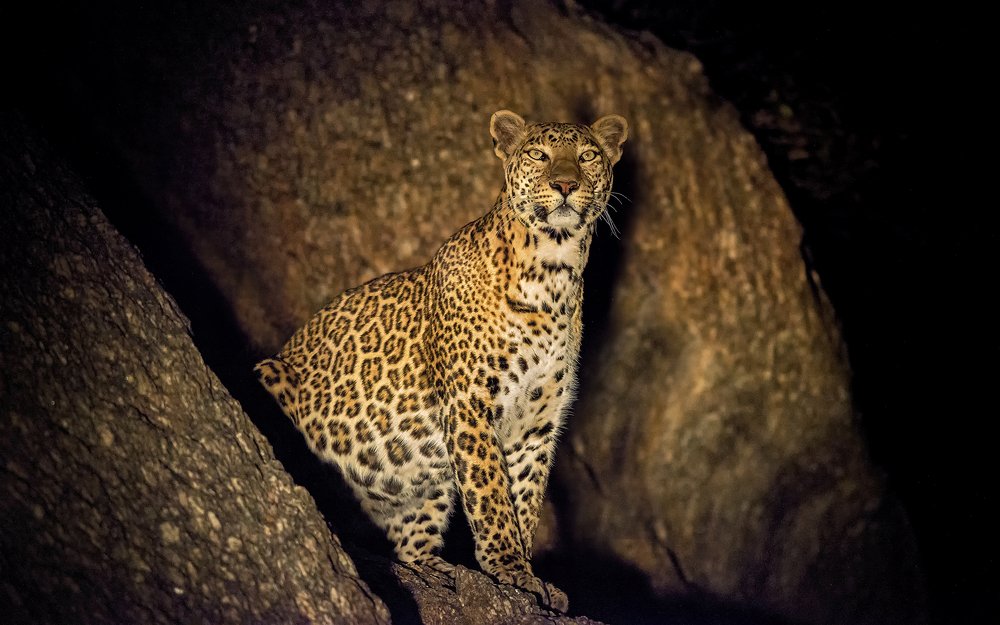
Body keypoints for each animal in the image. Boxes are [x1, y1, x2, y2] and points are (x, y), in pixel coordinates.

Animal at [255, 110, 627, 612]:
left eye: (587, 156)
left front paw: (528, 574)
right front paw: (509, 568)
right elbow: (491, 494)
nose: (567, 183)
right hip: (271, 372)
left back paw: (433, 568)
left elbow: (526, 499)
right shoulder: (469, 404)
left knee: (410, 541)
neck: (554, 270)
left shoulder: (536, 424)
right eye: (538, 154)